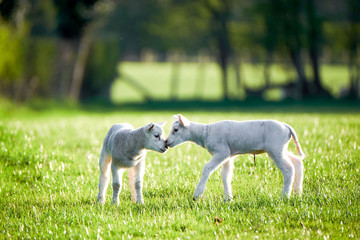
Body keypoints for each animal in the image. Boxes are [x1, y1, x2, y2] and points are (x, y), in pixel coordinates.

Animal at [165, 114, 304, 201]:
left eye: (175, 130)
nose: (166, 142)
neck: (205, 133)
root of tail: (287, 127)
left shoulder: (222, 151)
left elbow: (207, 168)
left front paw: (197, 194)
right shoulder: (228, 155)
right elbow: (225, 175)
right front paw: (228, 198)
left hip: (275, 148)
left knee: (288, 169)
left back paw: (285, 196)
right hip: (281, 148)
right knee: (297, 162)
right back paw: (298, 193)